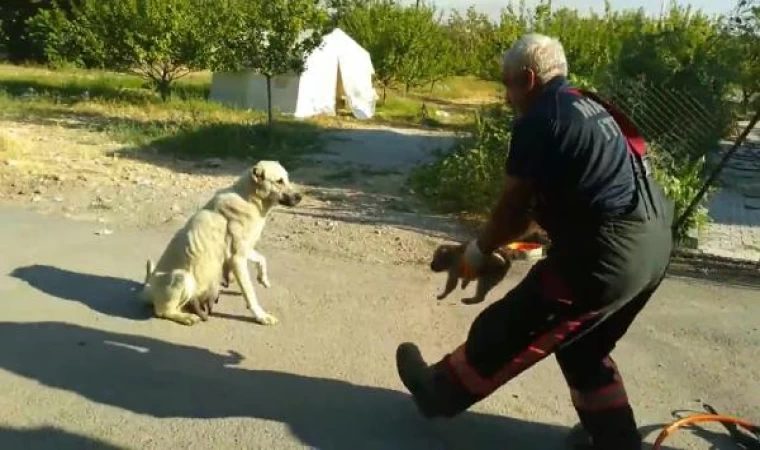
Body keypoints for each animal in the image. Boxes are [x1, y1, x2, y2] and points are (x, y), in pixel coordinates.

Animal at [141, 160, 302, 326]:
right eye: (279, 181)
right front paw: (261, 315)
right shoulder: (237, 258)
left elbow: (262, 258)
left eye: (287, 179)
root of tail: (147, 286)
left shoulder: (243, 249)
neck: (249, 199)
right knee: (162, 311)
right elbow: (250, 292)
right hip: (182, 277)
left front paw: (263, 278)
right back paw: (186, 317)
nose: (300, 197)